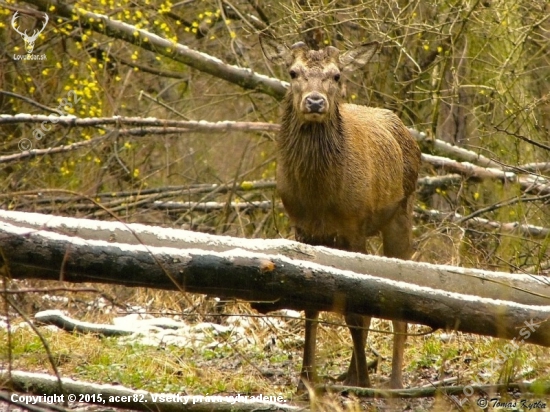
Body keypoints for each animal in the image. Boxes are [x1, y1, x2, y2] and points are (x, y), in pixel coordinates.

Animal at [260, 34, 422, 390]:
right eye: (293, 72)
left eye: (336, 75)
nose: (315, 101)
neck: (321, 199)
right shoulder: (303, 228)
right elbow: (312, 306)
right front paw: (306, 380)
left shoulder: (353, 225)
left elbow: (357, 311)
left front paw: (364, 382)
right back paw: (349, 373)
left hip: (401, 212)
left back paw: (393, 380)